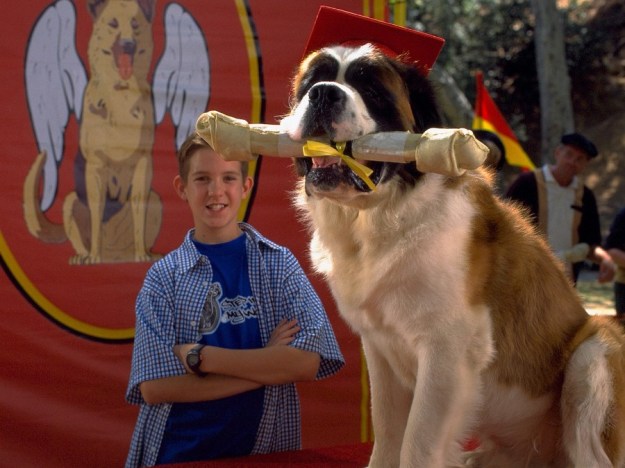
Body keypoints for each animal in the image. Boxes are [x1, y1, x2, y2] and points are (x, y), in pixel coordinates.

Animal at [281, 43, 625, 467]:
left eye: (373, 91)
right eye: (312, 82)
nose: (324, 94)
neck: (378, 220)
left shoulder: (448, 349)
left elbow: (418, 443)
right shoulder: (379, 349)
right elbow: (388, 432)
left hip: (596, 350)